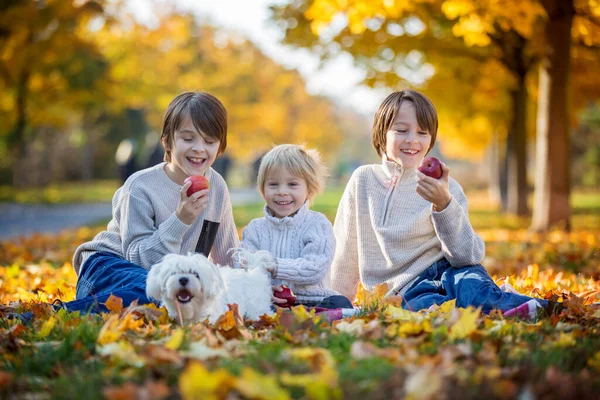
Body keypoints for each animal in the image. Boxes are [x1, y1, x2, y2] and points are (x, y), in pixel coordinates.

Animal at [146, 250, 276, 324]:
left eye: (196, 274)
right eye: (174, 273)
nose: (183, 279)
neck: (190, 309)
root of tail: (255, 271)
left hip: (258, 308)